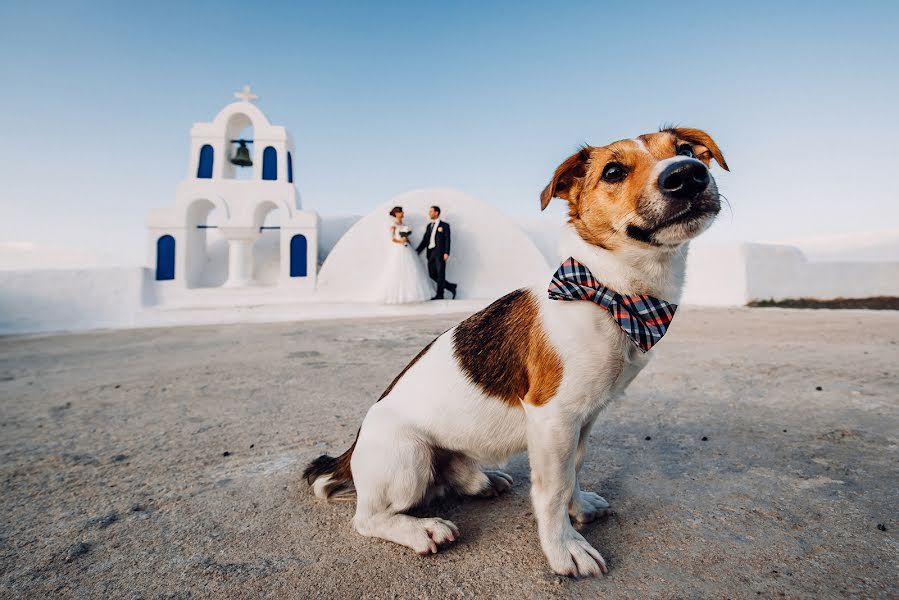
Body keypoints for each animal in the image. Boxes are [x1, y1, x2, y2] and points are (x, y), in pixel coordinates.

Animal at [306, 126, 728, 576]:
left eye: (685, 151)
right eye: (613, 171)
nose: (688, 174)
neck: (610, 292)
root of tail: (354, 447)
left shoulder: (583, 418)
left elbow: (574, 470)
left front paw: (579, 508)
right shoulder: (553, 416)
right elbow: (553, 489)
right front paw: (564, 548)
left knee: (452, 478)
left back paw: (482, 480)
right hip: (408, 459)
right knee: (368, 518)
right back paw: (421, 530)